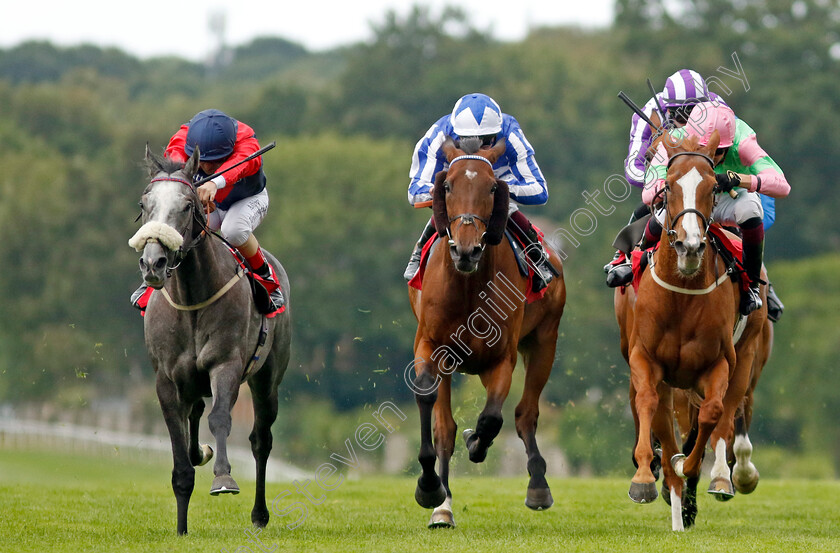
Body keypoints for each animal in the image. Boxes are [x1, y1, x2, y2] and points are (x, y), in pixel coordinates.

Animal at [129, 144, 292, 532]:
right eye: (144, 203)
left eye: (188, 205)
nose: (153, 263)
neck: (191, 300)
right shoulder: (166, 378)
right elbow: (179, 446)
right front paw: (181, 527)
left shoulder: (226, 364)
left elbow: (220, 418)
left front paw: (223, 479)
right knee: (195, 416)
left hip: (268, 379)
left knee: (261, 440)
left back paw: (260, 514)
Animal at [406, 136, 564, 528]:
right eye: (447, 185)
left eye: (493, 187)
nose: (466, 249)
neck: (467, 286)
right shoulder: (431, 345)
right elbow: (433, 409)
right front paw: (431, 489)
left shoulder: (502, 357)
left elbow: (492, 418)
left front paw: (476, 443)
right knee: (447, 425)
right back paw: (444, 504)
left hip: (544, 341)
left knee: (526, 413)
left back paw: (538, 484)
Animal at [612, 132, 772, 528]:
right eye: (667, 186)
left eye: (714, 186)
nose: (690, 245)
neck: (682, 294)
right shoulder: (646, 359)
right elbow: (648, 403)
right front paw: (644, 477)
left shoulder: (718, 364)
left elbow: (713, 414)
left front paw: (695, 470)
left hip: (747, 354)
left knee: (727, 414)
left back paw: (721, 478)